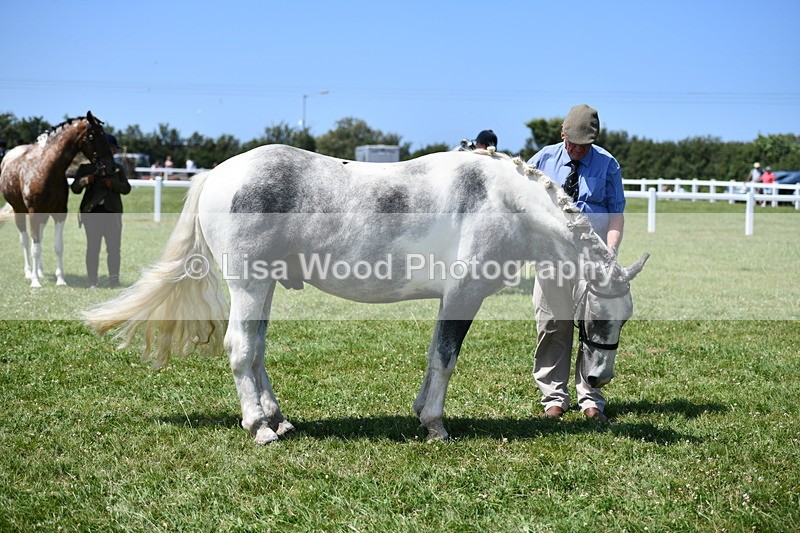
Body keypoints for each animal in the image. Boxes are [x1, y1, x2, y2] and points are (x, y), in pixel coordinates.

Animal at [0, 112, 115, 288]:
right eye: (95, 135)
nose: (110, 166)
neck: (47, 168)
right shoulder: (33, 212)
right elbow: (34, 248)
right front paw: (35, 282)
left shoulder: (59, 212)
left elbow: (57, 246)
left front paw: (60, 280)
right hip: (19, 211)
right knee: (25, 241)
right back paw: (29, 272)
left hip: (43, 215)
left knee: (38, 238)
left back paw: (39, 271)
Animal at [84, 144, 649, 444]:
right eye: (600, 318)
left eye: (624, 319)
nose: (600, 378)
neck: (504, 200)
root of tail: (219, 173)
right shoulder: (463, 295)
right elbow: (445, 357)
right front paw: (435, 425)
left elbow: (434, 355)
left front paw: (422, 413)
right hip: (248, 282)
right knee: (241, 349)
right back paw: (260, 428)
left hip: (263, 286)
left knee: (257, 350)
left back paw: (279, 420)